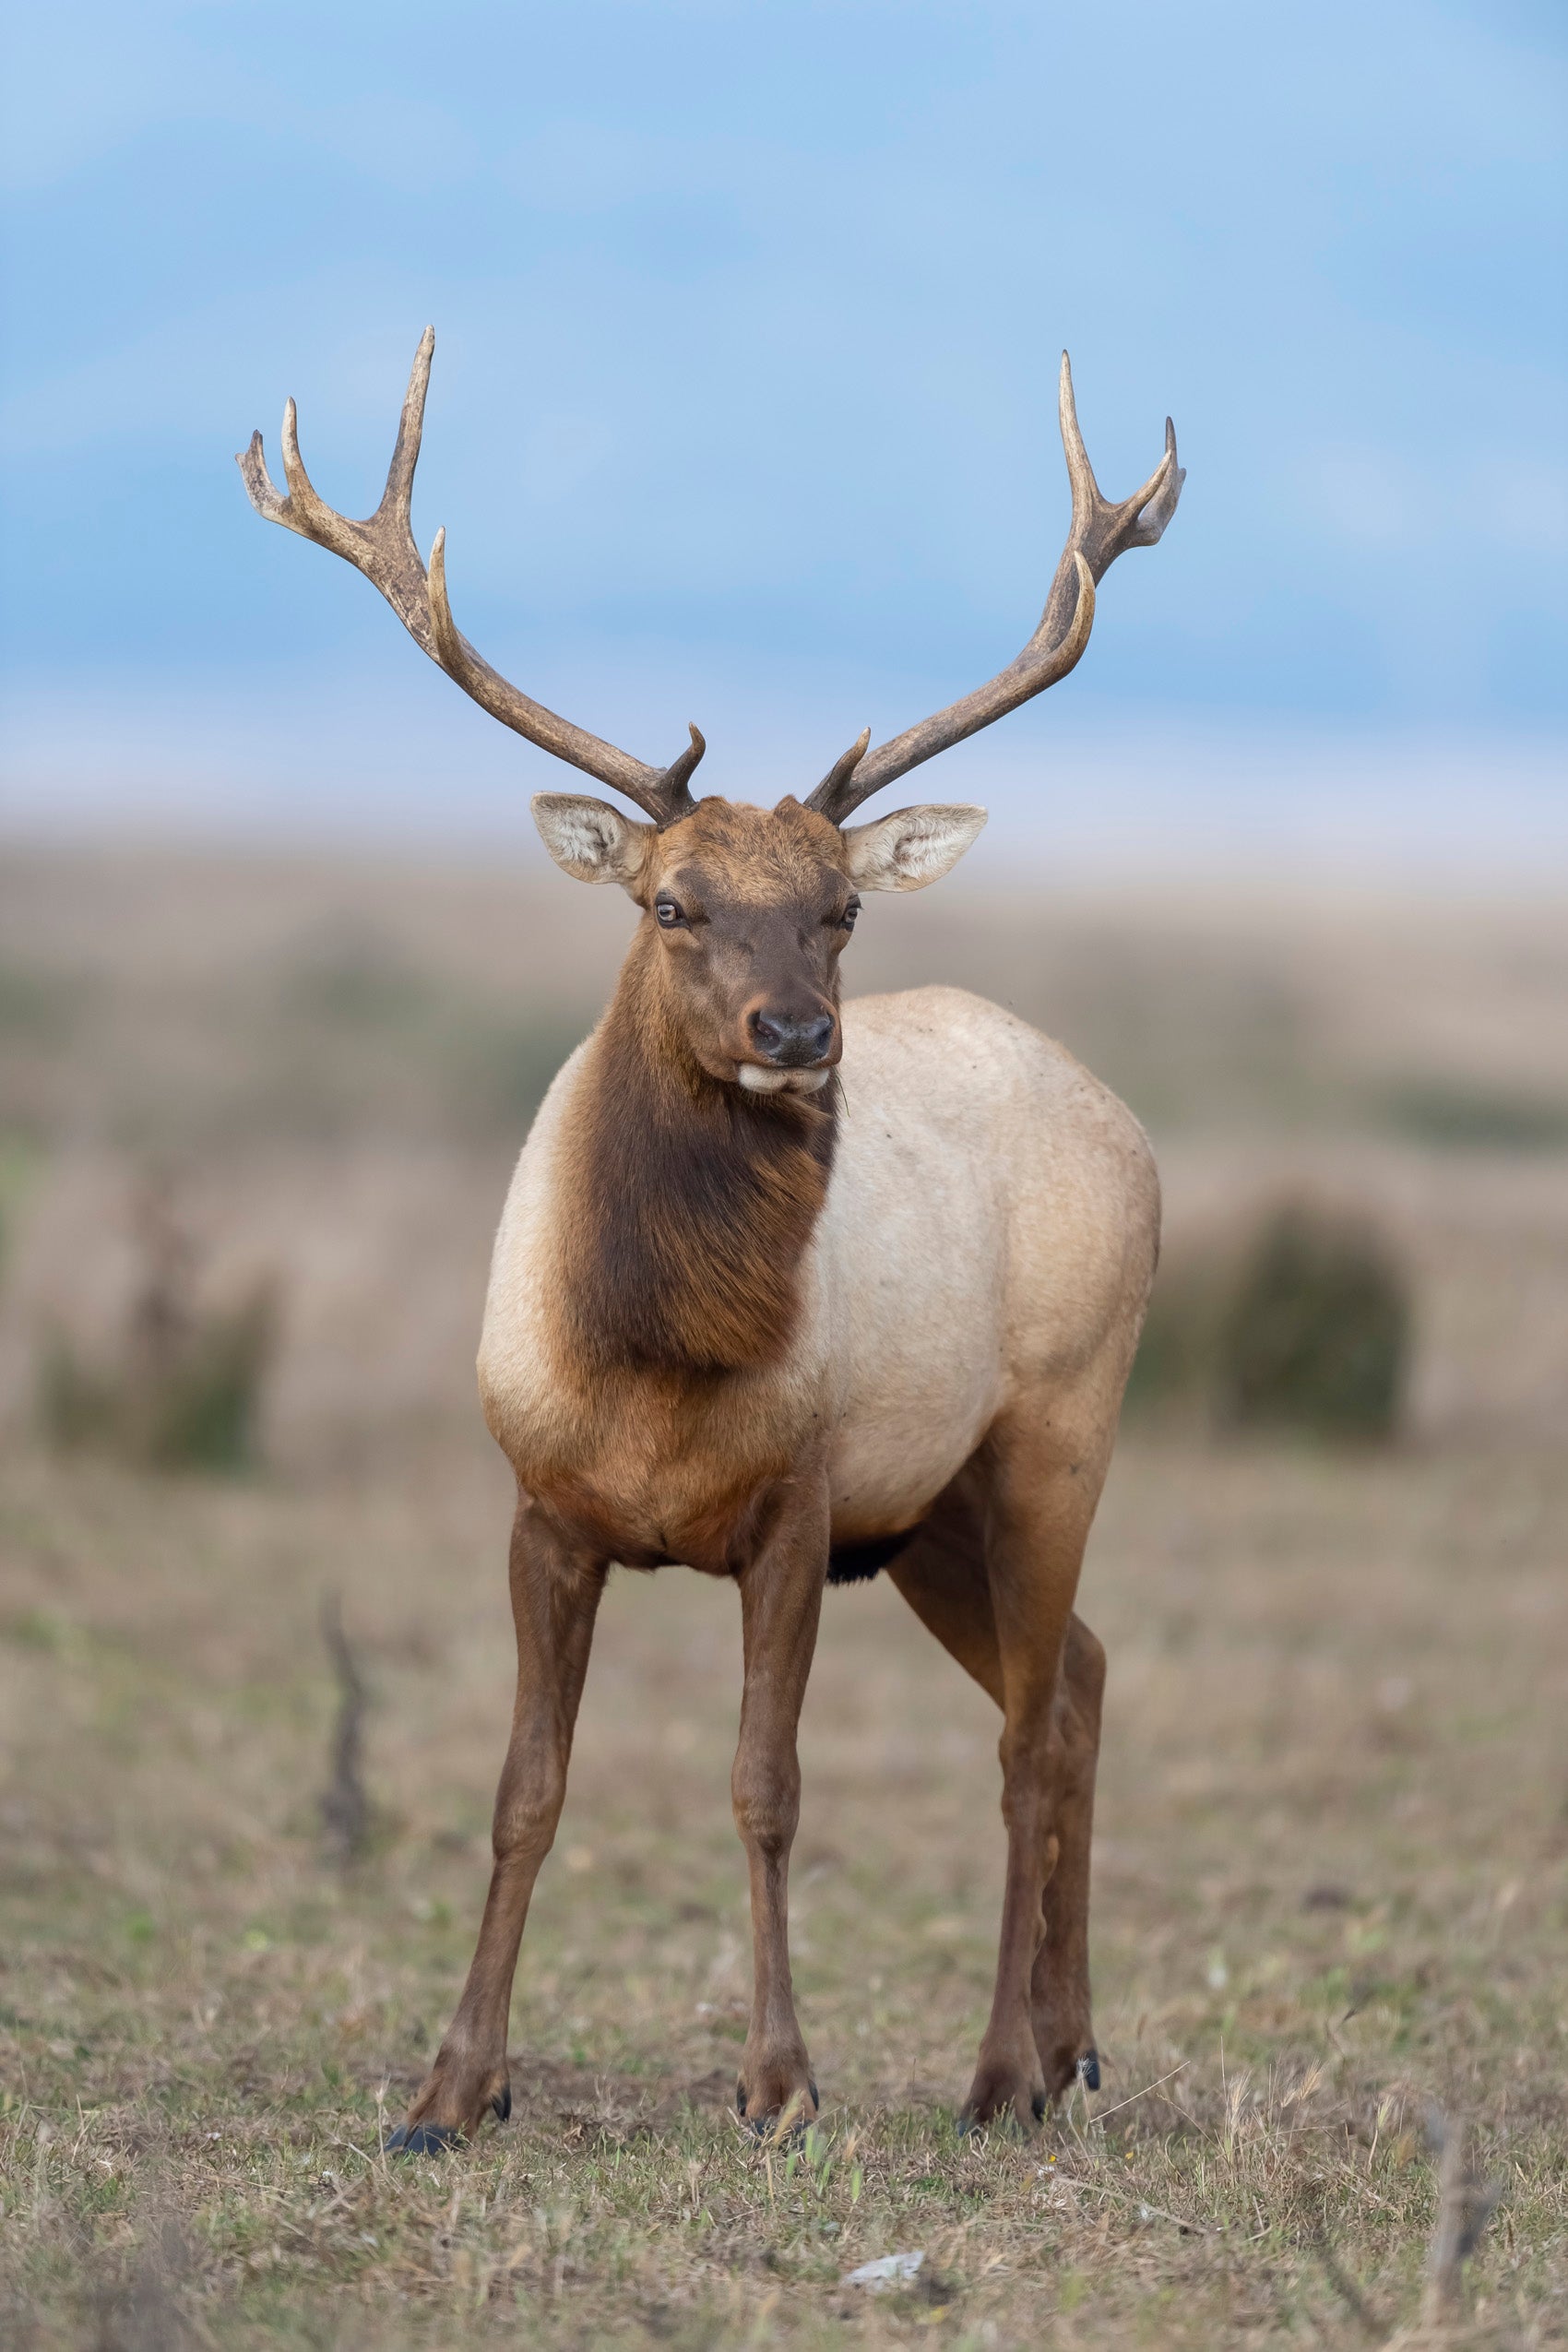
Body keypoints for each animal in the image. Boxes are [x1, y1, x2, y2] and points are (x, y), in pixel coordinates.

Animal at [239, 331, 1184, 2154]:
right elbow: (524, 1790)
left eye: (843, 909)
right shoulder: (544, 1507)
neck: (654, 1364)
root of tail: (1126, 1119)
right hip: (937, 1512)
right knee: (1088, 1680)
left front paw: (781, 2082)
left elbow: (765, 1789)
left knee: (1034, 1728)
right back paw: (1077, 2048)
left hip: (1058, 1427)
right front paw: (450, 2089)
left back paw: (1001, 2071)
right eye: (670, 903)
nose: (797, 1033)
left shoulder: (798, 1503)